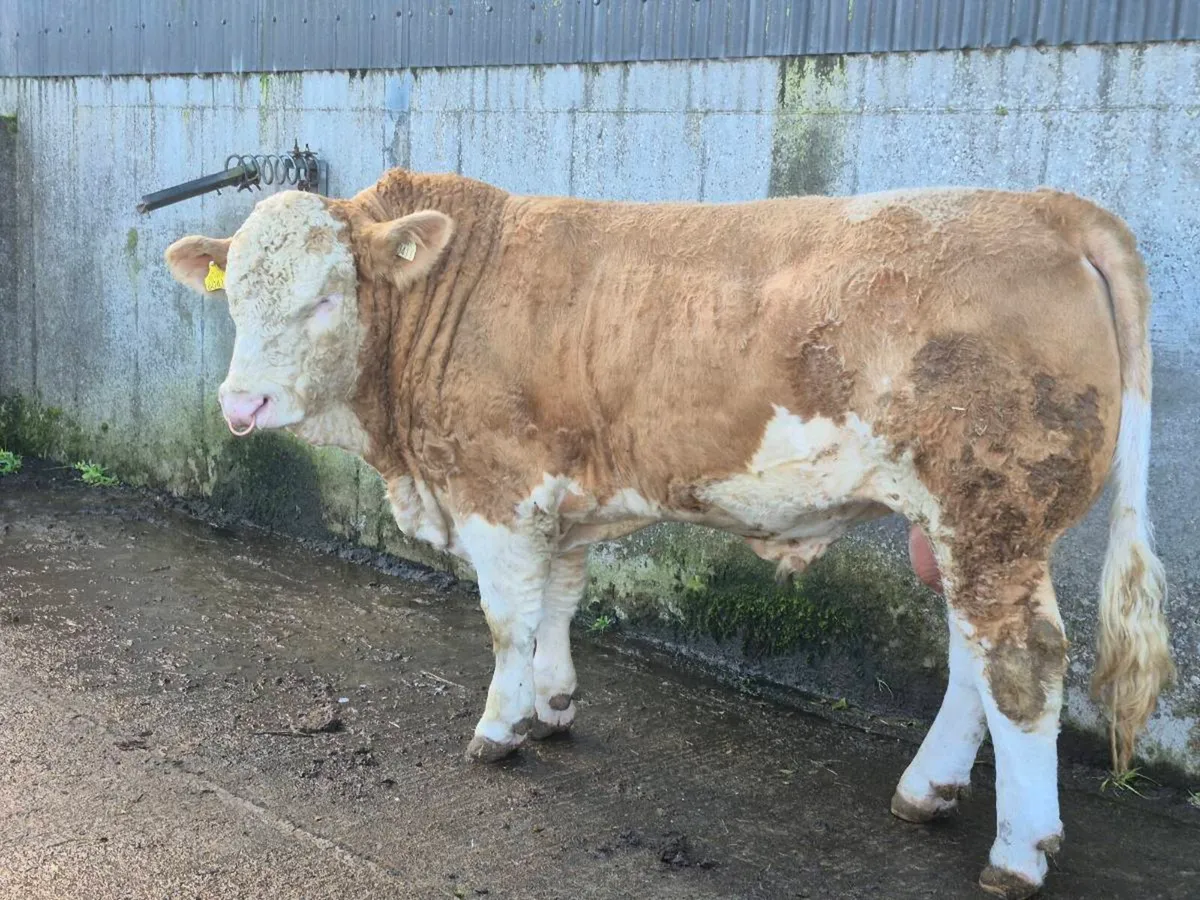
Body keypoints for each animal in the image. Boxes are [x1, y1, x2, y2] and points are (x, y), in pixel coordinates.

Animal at [165, 169, 1172, 899]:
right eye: (233, 298)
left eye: (327, 299)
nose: (240, 405)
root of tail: (1045, 206)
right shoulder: (564, 498)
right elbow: (559, 602)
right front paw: (554, 705)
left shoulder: (498, 489)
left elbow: (505, 622)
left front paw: (500, 728)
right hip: (964, 529)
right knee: (973, 660)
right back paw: (927, 792)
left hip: (993, 512)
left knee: (1022, 665)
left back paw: (1018, 851)